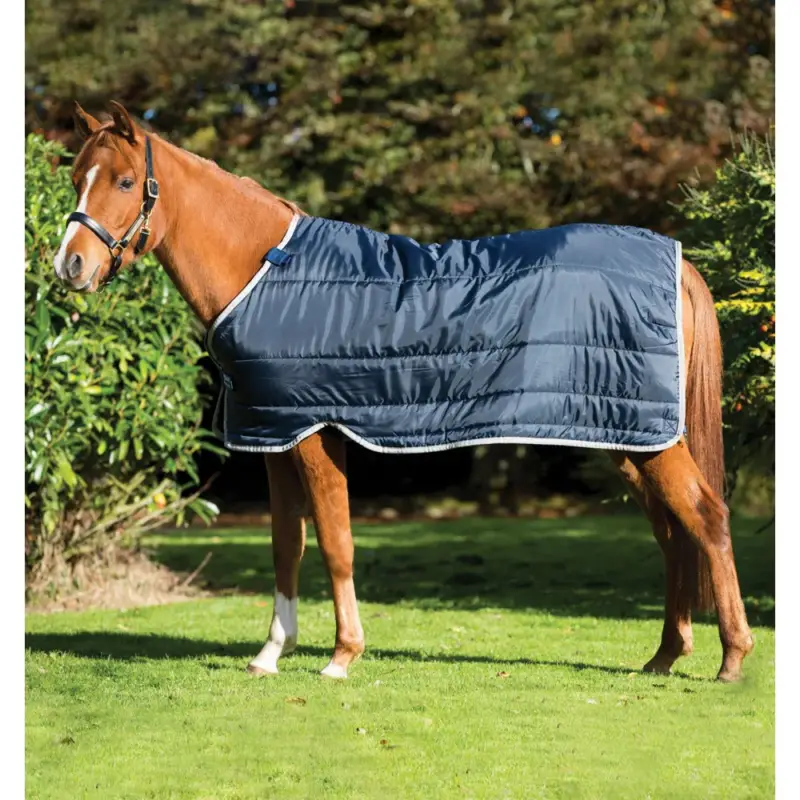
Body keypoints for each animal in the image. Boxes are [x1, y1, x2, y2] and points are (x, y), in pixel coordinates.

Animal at [52, 101, 754, 682]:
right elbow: (286, 546)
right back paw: (664, 656)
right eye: (76, 177)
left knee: (708, 518)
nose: (70, 266)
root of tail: (676, 263)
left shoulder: (314, 433)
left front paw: (342, 656)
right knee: (672, 531)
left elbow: (335, 542)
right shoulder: (274, 434)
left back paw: (731, 660)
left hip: (648, 439)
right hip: (626, 435)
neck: (265, 271)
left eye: (123, 182)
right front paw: (271, 653)